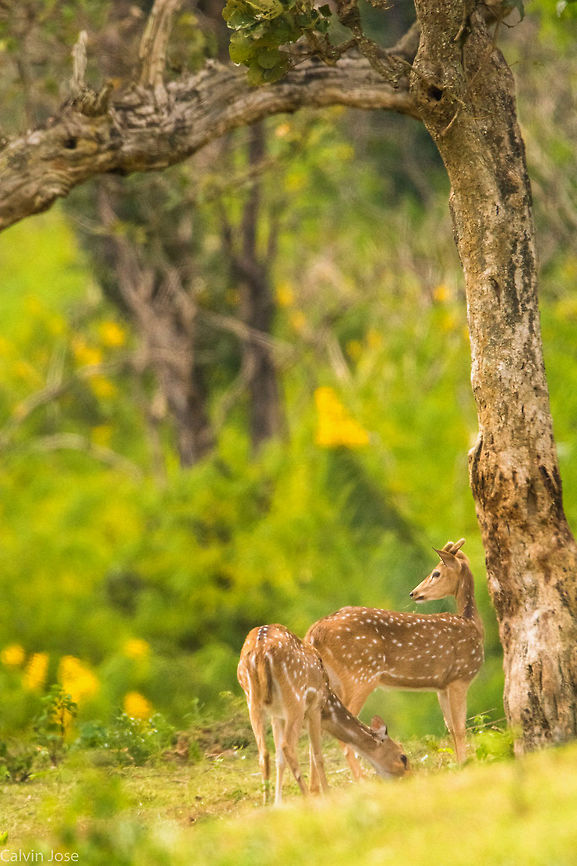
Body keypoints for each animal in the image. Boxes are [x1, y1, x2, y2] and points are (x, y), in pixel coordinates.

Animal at [237, 623, 408, 805]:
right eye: (403, 757)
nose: (410, 778)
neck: (328, 705)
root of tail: (261, 652)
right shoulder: (314, 706)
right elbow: (317, 755)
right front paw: (326, 794)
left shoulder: (277, 716)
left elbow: (280, 760)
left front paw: (278, 803)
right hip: (295, 699)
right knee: (287, 746)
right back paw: (305, 797)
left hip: (252, 701)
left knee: (264, 752)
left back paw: (266, 801)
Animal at [305, 538, 484, 773]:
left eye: (436, 573)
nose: (413, 593)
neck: (473, 625)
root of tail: (312, 633)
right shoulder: (459, 678)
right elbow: (461, 728)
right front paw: (465, 766)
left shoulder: (442, 686)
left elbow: (452, 728)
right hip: (359, 676)